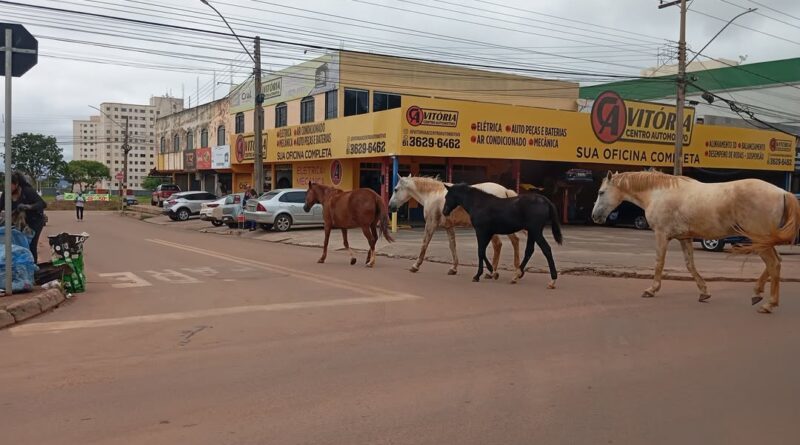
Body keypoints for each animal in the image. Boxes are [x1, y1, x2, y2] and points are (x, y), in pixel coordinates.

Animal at [386, 174, 520, 276]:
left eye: (395, 189)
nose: (390, 207)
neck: (432, 194)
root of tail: (505, 191)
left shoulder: (431, 224)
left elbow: (424, 243)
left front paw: (415, 266)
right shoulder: (449, 227)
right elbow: (452, 246)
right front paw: (454, 268)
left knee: (498, 245)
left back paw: (493, 273)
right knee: (514, 241)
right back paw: (515, 271)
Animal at [592, 170, 796, 312]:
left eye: (601, 192)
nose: (594, 216)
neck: (659, 193)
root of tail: (782, 192)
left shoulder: (661, 235)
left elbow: (659, 262)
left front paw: (651, 289)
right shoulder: (685, 238)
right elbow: (690, 265)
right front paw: (704, 293)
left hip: (759, 239)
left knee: (773, 263)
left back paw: (768, 304)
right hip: (763, 241)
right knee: (775, 263)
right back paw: (757, 293)